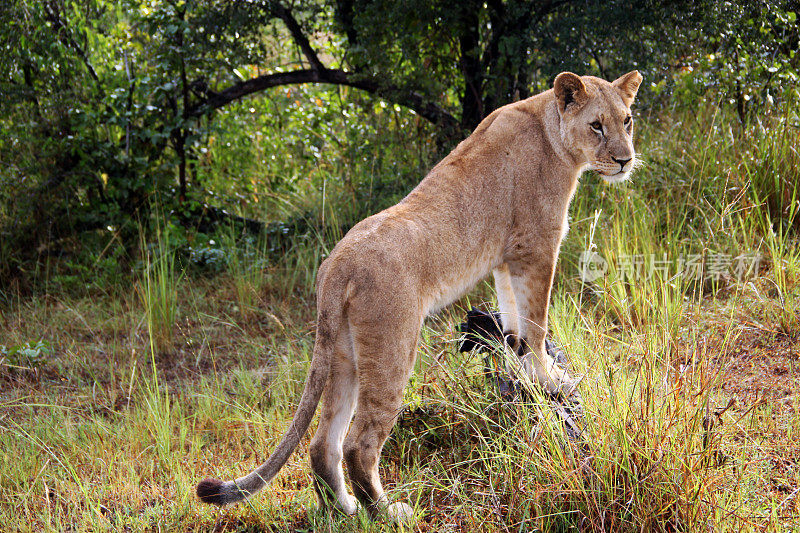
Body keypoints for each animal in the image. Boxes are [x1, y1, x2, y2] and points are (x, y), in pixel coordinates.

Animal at [195, 68, 644, 520]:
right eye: (596, 125)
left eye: (626, 121)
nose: (625, 161)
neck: (553, 132)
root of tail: (337, 266)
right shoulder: (537, 246)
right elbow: (536, 323)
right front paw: (548, 378)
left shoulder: (508, 257)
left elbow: (513, 318)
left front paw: (519, 370)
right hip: (393, 349)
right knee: (359, 444)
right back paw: (387, 512)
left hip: (342, 353)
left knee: (323, 443)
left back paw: (345, 509)